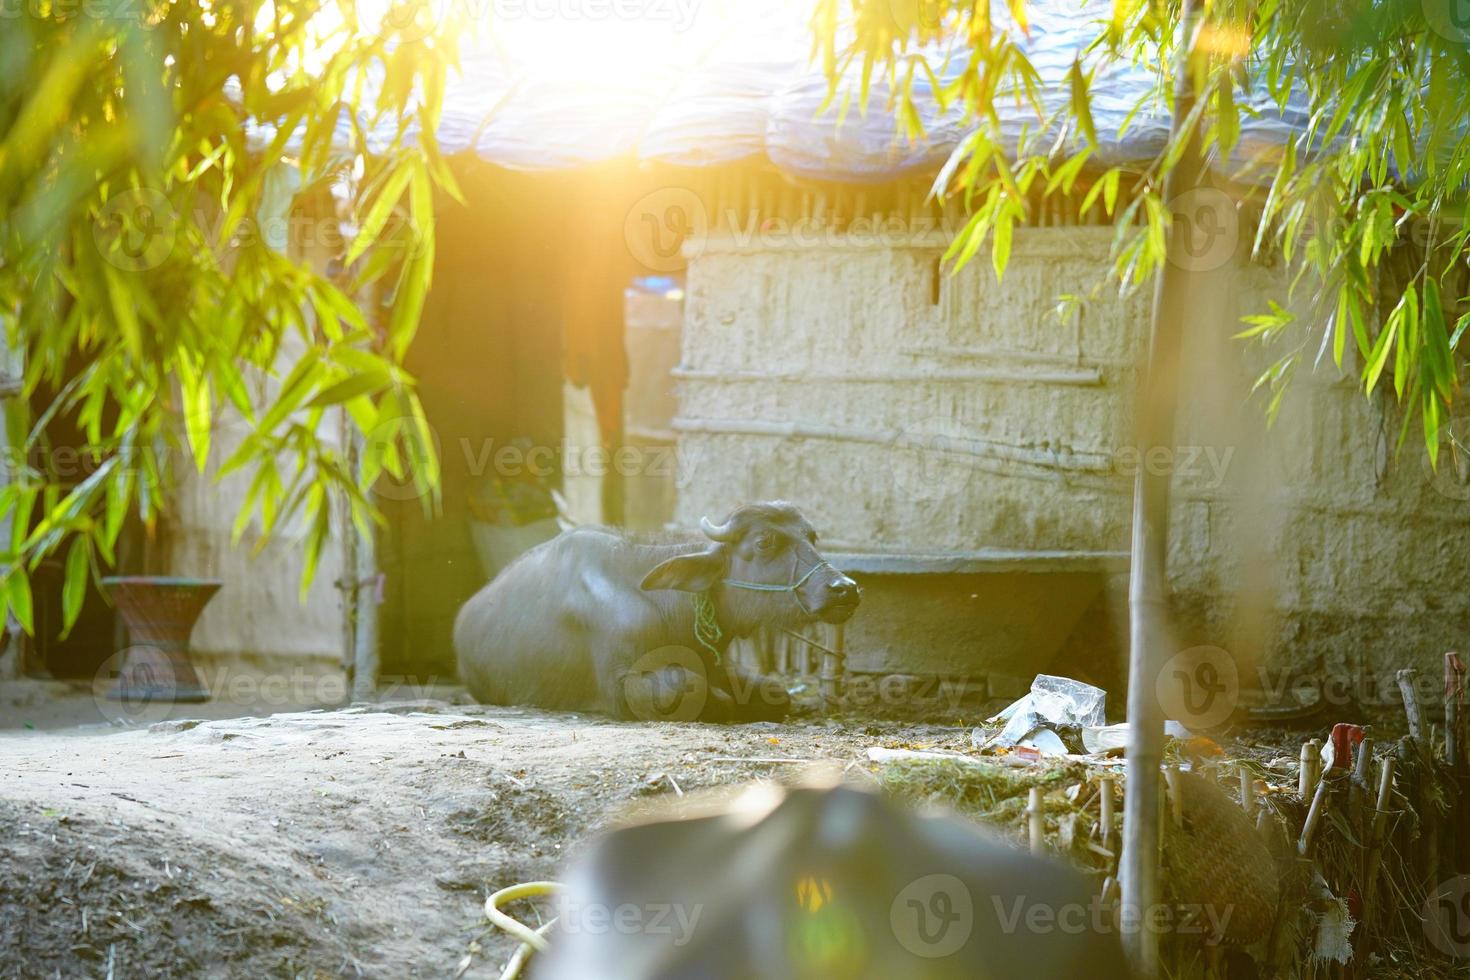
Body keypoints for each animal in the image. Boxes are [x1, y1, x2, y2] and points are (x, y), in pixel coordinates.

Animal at [452, 505, 858, 719]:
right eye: (764, 541)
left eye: (812, 538)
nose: (844, 588)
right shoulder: (620, 685)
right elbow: (692, 686)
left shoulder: (718, 665)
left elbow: (775, 691)